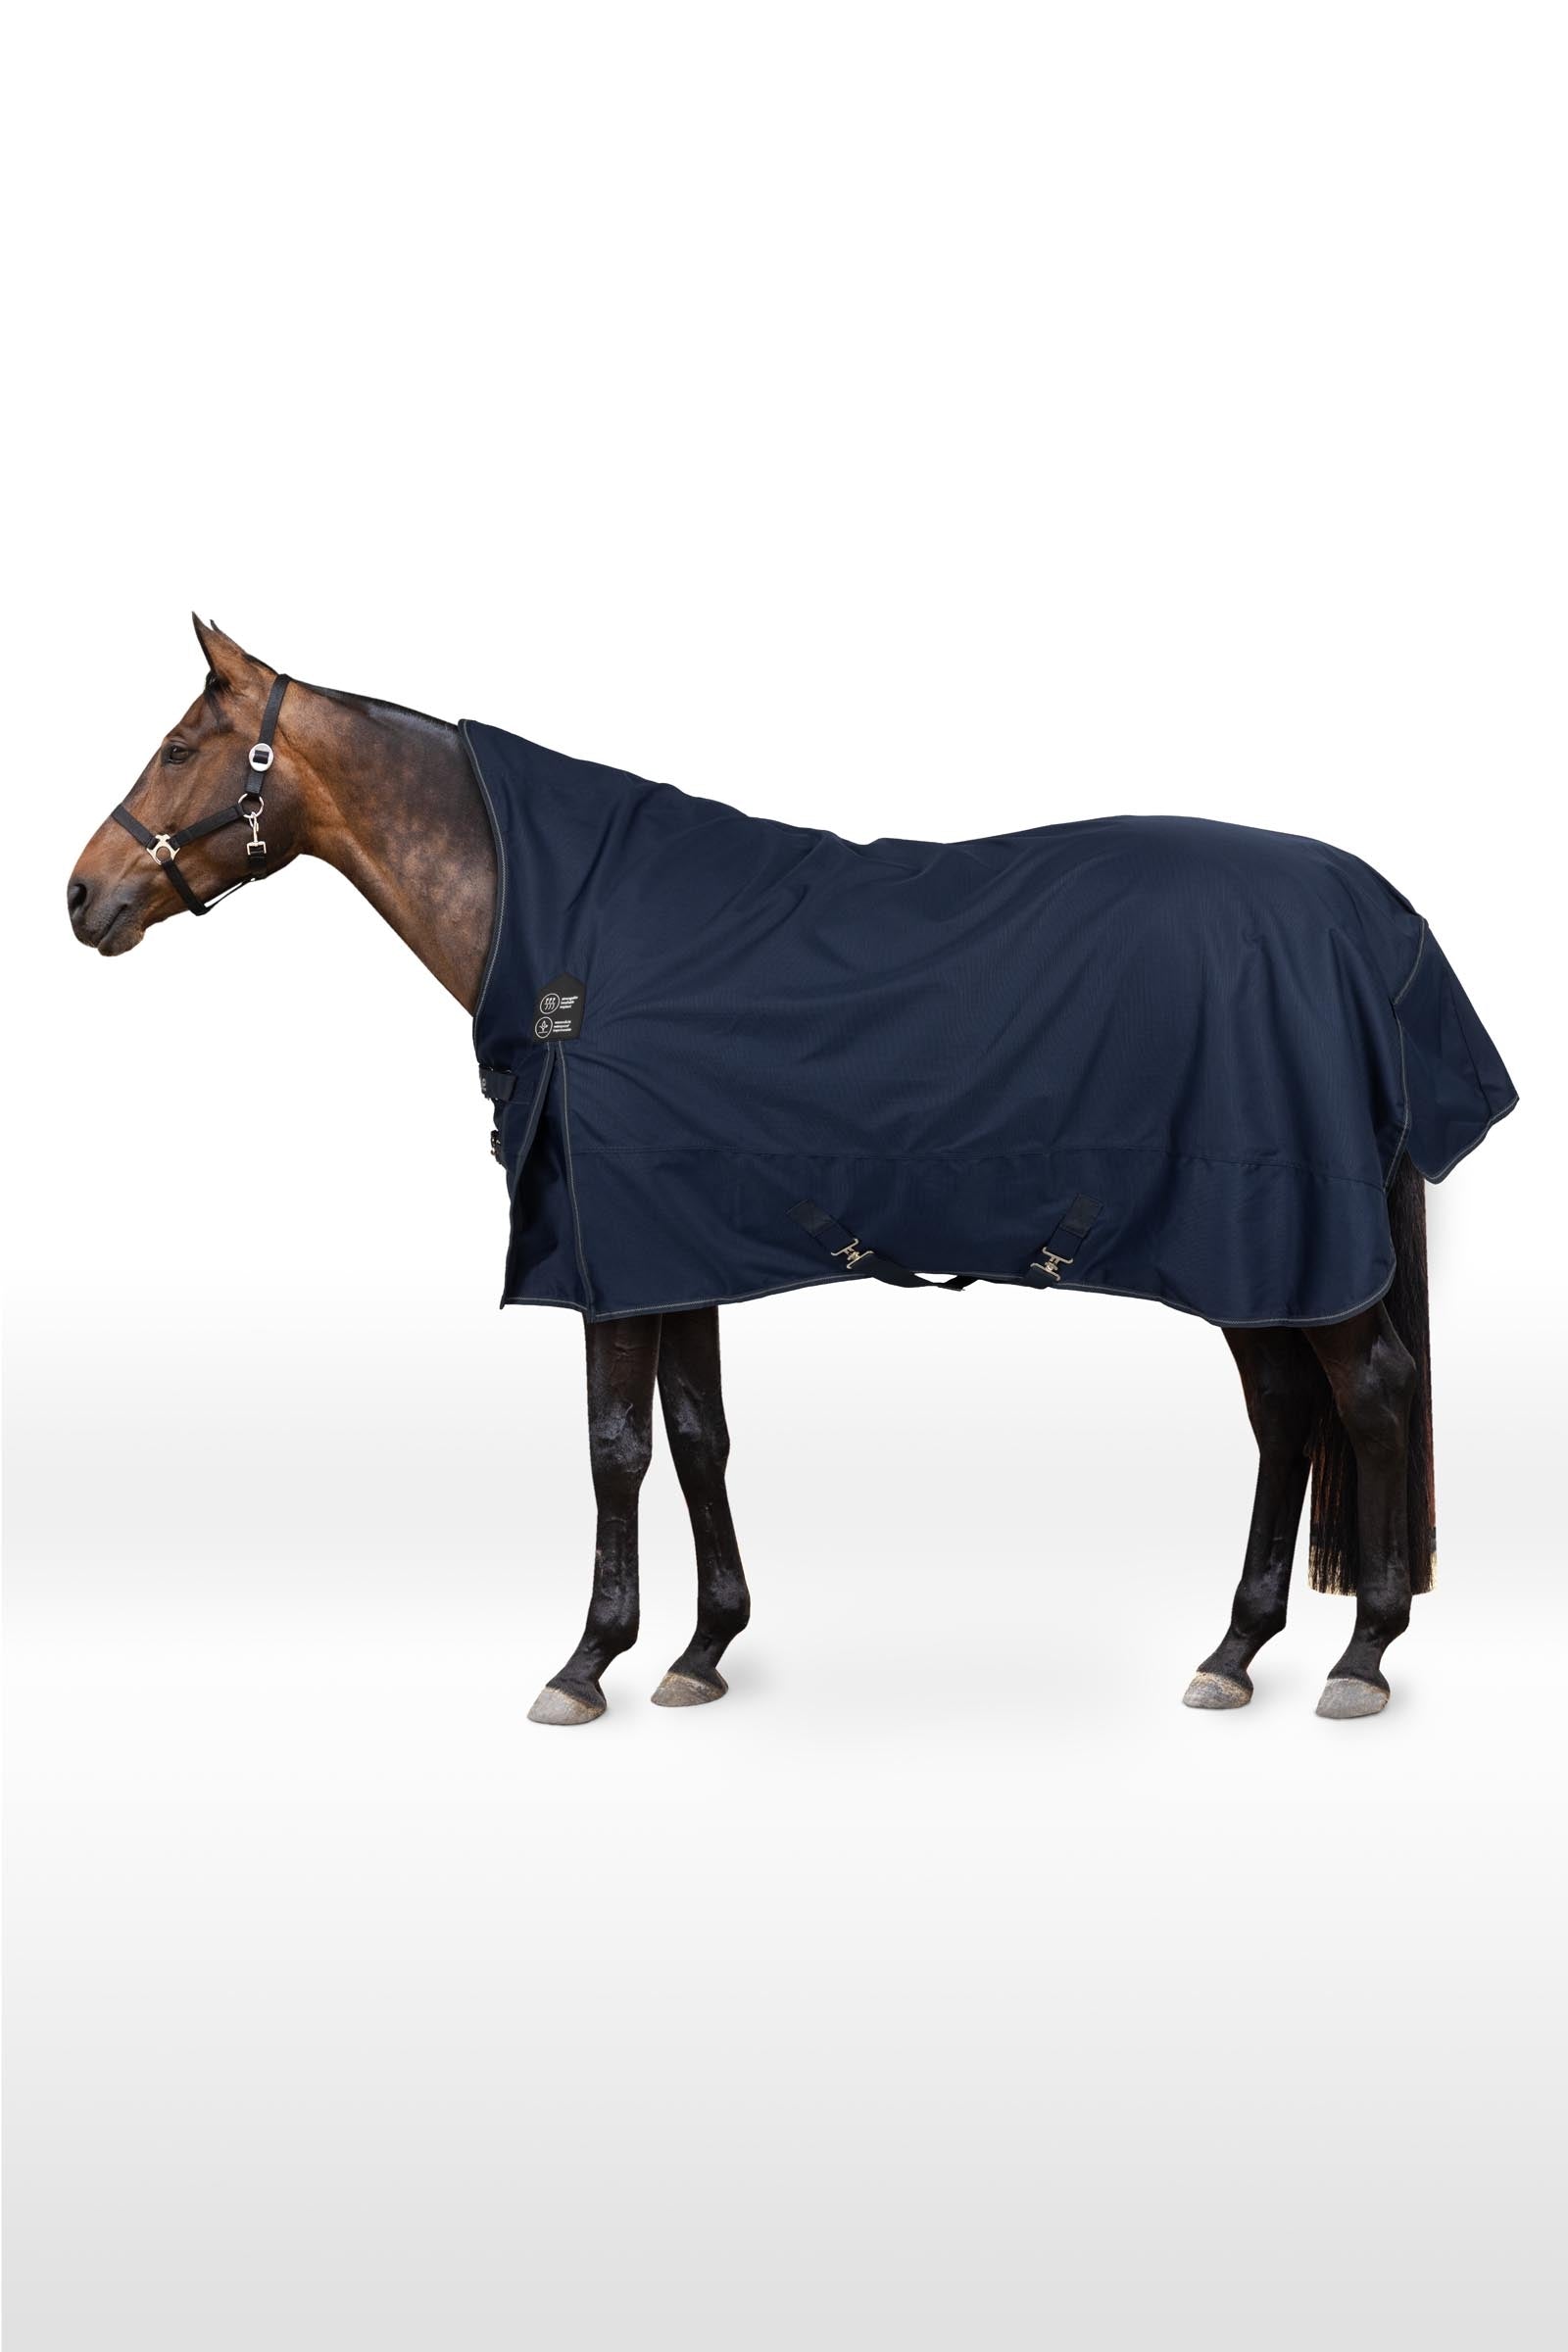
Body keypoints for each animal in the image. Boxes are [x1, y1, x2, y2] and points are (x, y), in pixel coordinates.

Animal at [67, 618, 1515, 1726]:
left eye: (182, 746)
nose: (82, 897)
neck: (571, 938)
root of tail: (1375, 918)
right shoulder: (671, 1244)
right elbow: (696, 1435)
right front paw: (703, 1650)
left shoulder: (605, 1256)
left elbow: (613, 1449)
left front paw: (585, 1665)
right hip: (1251, 1254)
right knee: (1286, 1416)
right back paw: (1236, 1650)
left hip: (1284, 1243)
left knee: (1369, 1398)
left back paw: (1362, 1654)